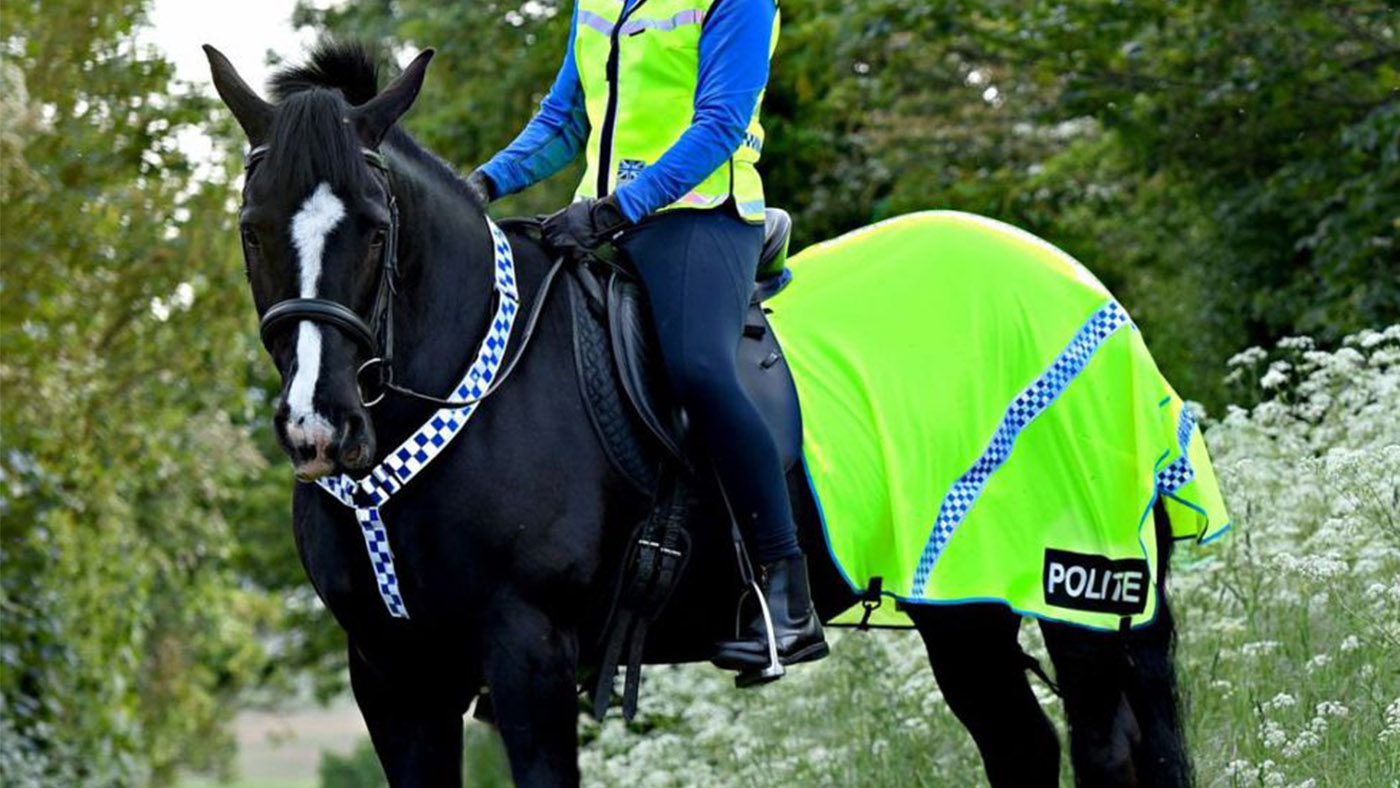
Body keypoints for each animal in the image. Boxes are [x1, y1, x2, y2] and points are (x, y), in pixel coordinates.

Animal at [204, 42, 1199, 787]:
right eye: (252, 228)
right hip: (963, 603)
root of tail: (1083, 286)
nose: (318, 427)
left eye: (375, 229)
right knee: (1021, 746)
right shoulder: (392, 676)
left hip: (1071, 593)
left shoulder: (528, 660)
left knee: (1102, 748)